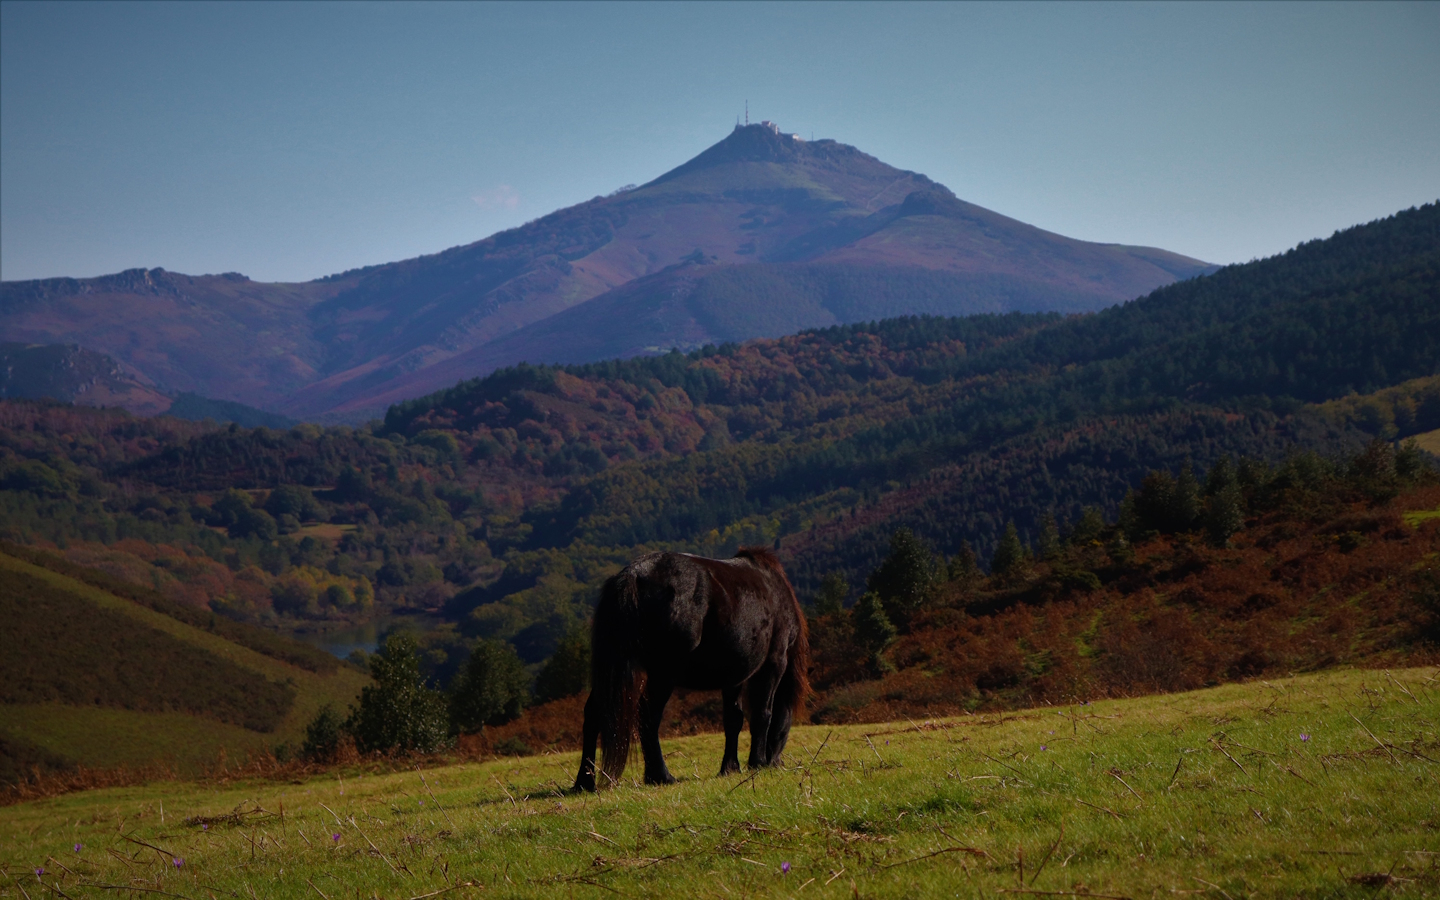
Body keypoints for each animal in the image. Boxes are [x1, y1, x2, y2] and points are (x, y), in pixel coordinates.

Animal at [572, 546, 809, 792]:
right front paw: (758, 763)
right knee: (648, 717)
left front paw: (730, 767)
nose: (777, 762)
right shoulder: (774, 664)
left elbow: (733, 720)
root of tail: (633, 576)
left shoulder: (733, 678)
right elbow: (763, 714)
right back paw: (661, 776)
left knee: (594, 714)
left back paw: (585, 782)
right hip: (662, 675)